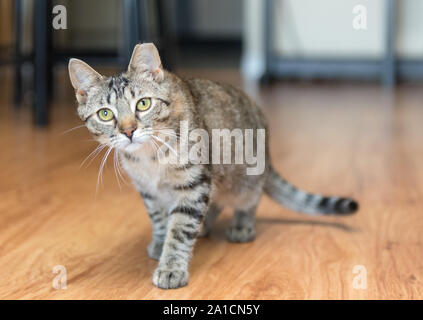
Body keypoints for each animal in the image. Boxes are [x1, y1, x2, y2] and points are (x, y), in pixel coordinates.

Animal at [68, 43, 360, 290]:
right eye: (105, 114)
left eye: (143, 103)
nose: (128, 131)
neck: (148, 159)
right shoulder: (149, 191)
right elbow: (160, 219)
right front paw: (161, 241)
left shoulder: (194, 183)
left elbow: (180, 229)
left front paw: (171, 266)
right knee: (213, 203)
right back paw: (205, 224)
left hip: (243, 181)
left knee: (248, 200)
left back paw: (241, 224)